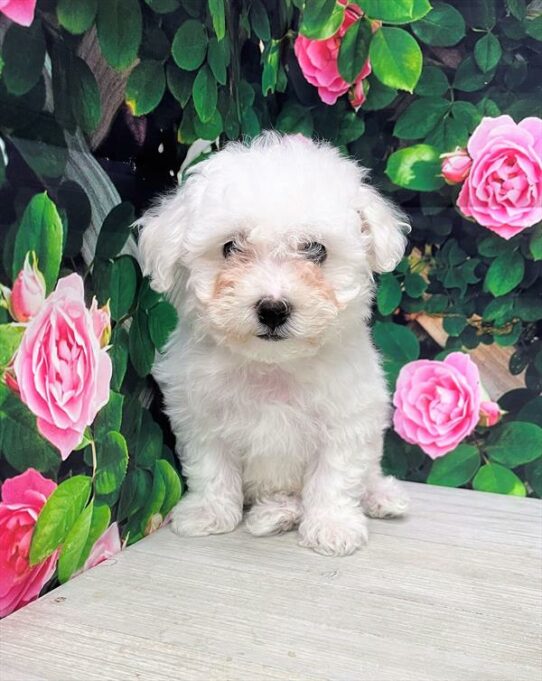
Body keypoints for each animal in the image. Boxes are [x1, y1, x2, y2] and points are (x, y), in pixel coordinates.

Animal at [138, 133, 410, 556]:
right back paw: (276, 513)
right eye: (230, 247)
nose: (273, 309)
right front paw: (210, 513)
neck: (274, 364)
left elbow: (335, 476)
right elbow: (211, 467)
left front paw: (332, 525)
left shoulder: (347, 417)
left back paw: (381, 496)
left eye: (315, 249)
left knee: (366, 475)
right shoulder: (200, 416)